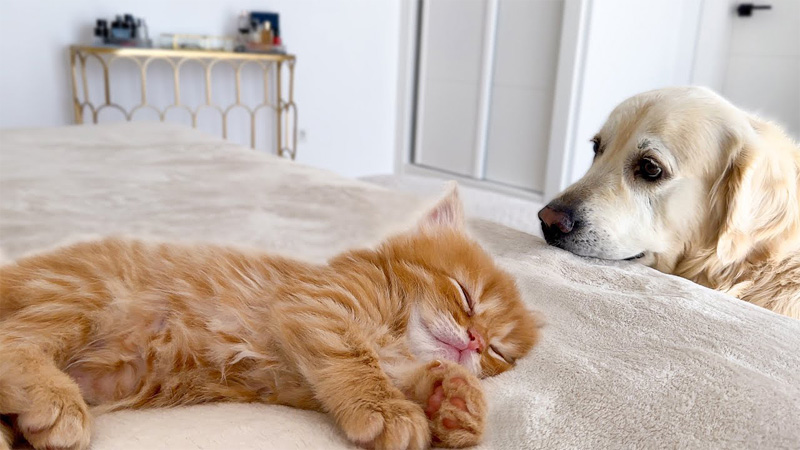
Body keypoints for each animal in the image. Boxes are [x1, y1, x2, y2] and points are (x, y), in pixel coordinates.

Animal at [0, 186, 540, 450]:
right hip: (83, 296)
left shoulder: (307, 381)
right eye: (465, 294)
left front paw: (456, 402)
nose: (474, 341)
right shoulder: (315, 306)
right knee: (12, 342)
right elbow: (358, 364)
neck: (395, 328)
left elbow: (412, 375)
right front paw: (390, 411)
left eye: (498, 351)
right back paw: (56, 404)